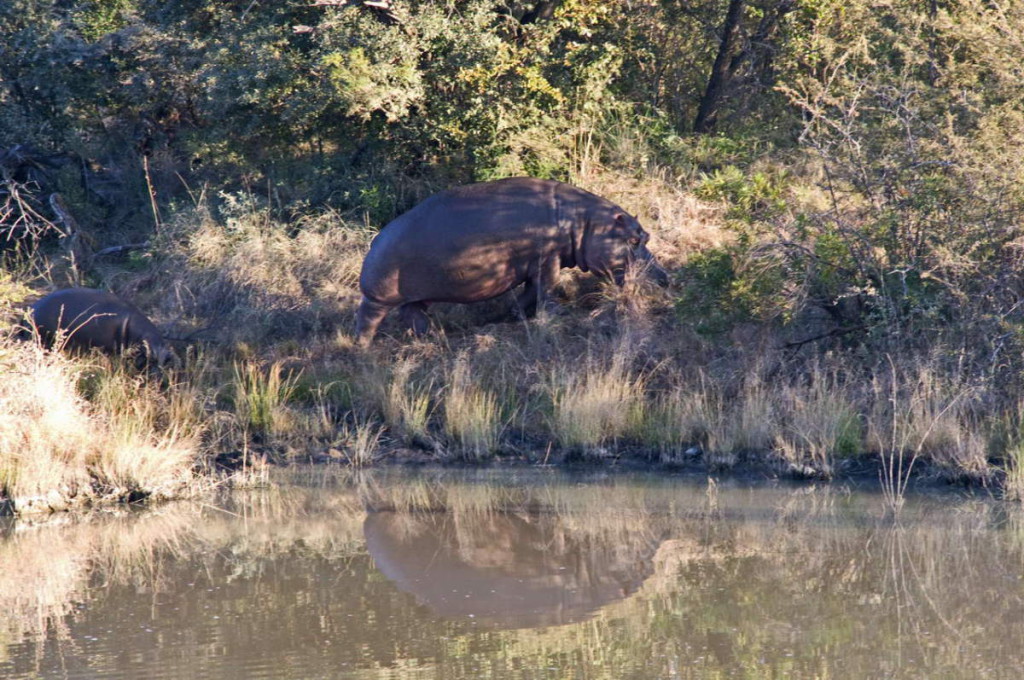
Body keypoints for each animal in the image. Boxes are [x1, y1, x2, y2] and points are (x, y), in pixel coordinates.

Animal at [356, 175, 667, 346]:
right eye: (634, 240)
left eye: (646, 235)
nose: (665, 278)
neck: (584, 222)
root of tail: (376, 239)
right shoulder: (547, 260)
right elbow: (546, 290)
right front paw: (555, 315)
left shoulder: (535, 266)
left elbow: (529, 293)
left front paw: (513, 315)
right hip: (378, 297)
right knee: (368, 319)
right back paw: (362, 347)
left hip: (415, 298)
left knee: (415, 317)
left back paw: (433, 338)